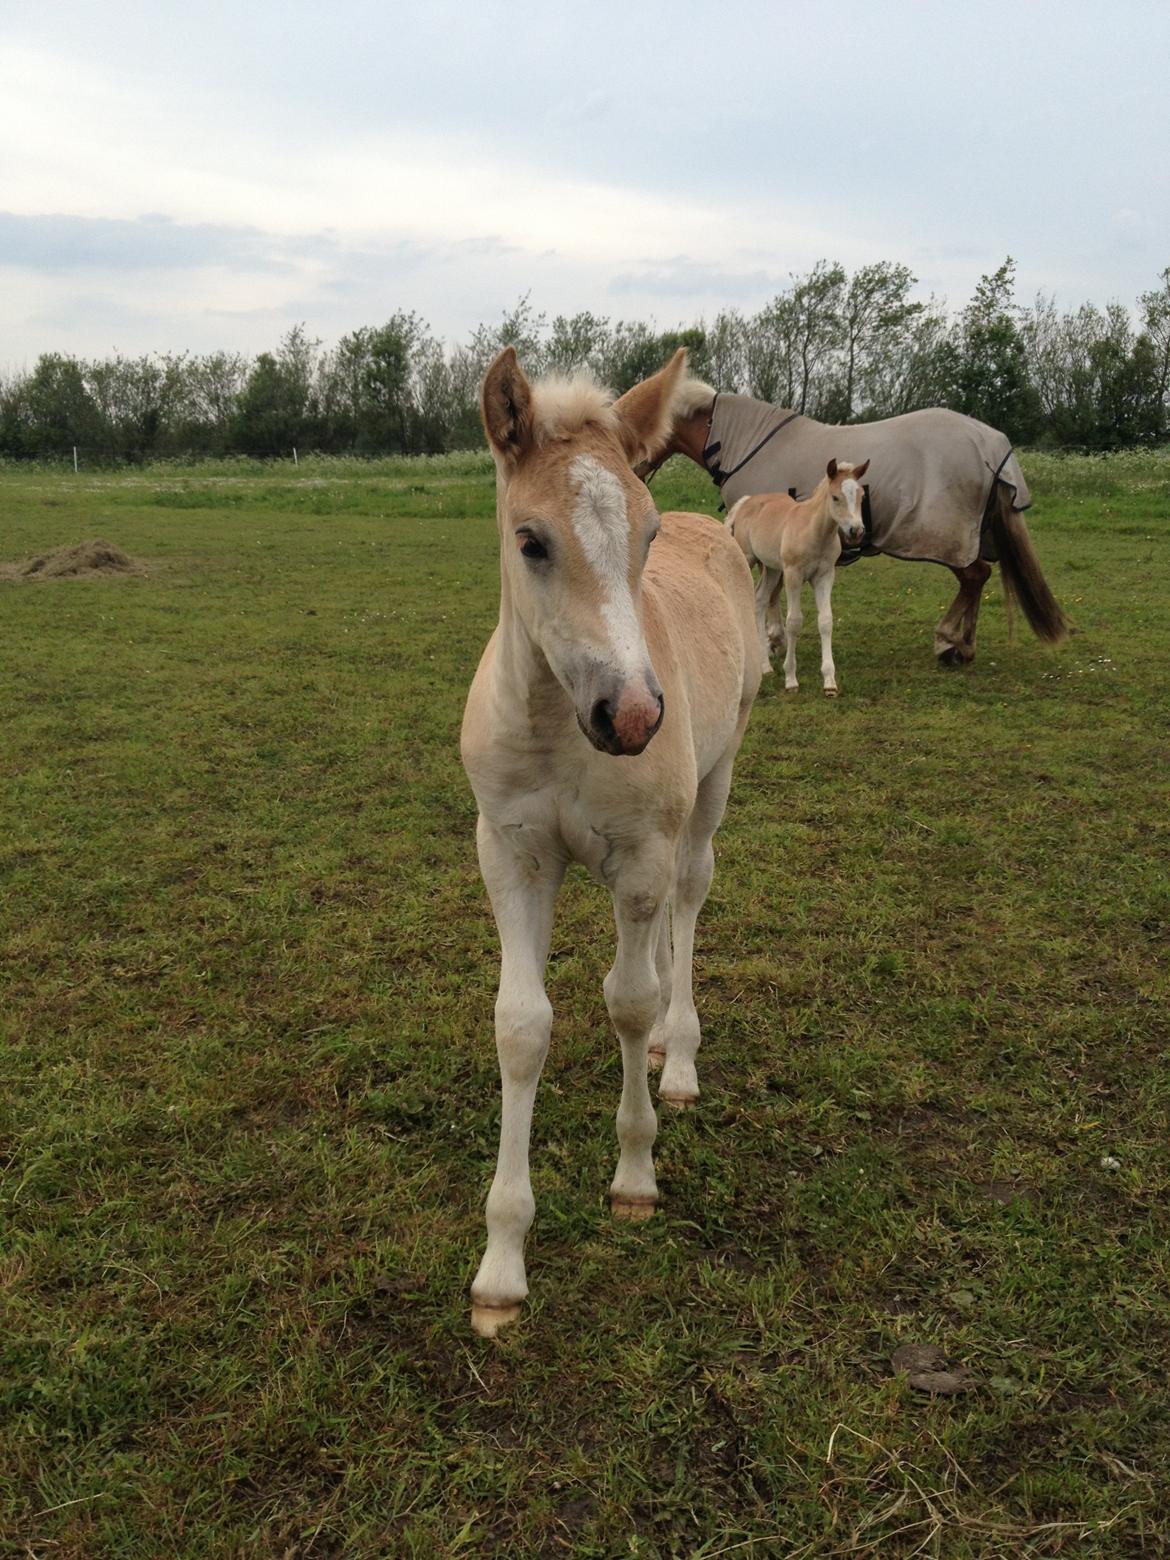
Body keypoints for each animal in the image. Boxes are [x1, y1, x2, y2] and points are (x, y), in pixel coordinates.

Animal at [461, 347, 764, 1335]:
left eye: (646, 534)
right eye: (531, 540)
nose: (630, 716)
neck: (559, 726)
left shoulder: (639, 855)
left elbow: (627, 1003)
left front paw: (635, 1173)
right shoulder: (511, 854)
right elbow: (522, 1027)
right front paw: (501, 1267)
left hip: (710, 787)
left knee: (690, 897)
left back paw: (680, 1055)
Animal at [642, 371, 1073, 664]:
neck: (742, 442)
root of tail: (992, 444)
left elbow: (771, 593)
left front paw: (773, 639)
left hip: (949, 540)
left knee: (974, 576)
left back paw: (949, 640)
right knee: (977, 578)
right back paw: (964, 645)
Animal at [733, 458, 873, 698]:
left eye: (861, 496)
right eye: (835, 497)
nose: (856, 531)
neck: (814, 533)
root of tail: (746, 501)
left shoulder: (825, 576)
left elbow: (825, 621)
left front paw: (829, 682)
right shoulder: (793, 575)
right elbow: (793, 622)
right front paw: (790, 679)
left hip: (772, 569)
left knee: (760, 600)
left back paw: (765, 667)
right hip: (748, 559)